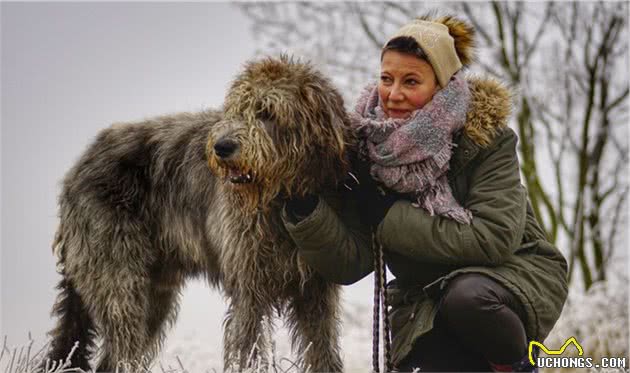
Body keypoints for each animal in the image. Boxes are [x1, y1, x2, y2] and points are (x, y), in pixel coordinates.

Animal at [45, 56, 350, 372]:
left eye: (267, 112)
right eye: (235, 110)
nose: (222, 147)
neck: (278, 198)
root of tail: (78, 168)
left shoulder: (316, 292)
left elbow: (324, 353)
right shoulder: (248, 288)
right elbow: (246, 349)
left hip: (154, 292)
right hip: (118, 278)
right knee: (121, 344)